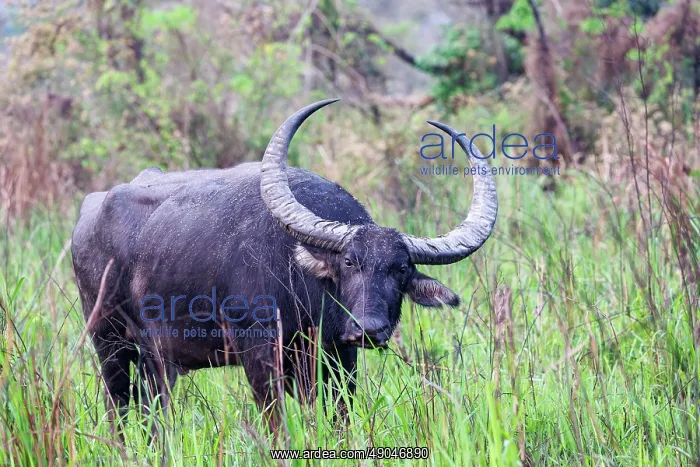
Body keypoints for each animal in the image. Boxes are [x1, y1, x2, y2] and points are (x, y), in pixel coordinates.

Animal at [71, 99, 498, 431]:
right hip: (108, 342)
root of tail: (91, 209)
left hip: (154, 360)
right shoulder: (259, 352)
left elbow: (337, 418)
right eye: (349, 261)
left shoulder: (337, 359)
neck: (305, 290)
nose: (368, 329)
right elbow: (276, 423)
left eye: (402, 269)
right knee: (118, 407)